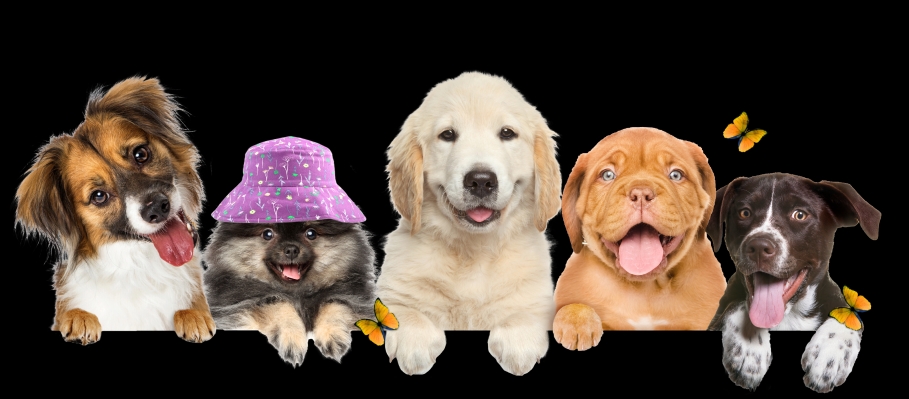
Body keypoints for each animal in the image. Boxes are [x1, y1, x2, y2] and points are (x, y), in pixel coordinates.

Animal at [14, 76, 215, 346]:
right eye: (99, 196)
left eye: (140, 154)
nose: (156, 208)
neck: (140, 269)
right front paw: (80, 319)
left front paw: (193, 315)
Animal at [202, 220, 376, 368]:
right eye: (268, 234)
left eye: (311, 233)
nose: (291, 249)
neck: (296, 292)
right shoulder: (239, 301)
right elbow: (278, 304)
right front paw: (292, 339)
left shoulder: (351, 295)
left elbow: (335, 304)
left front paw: (333, 335)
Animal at [374, 71, 560, 376]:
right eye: (447, 135)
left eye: (507, 133)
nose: (481, 181)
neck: (474, 251)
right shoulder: (393, 289)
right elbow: (405, 310)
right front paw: (415, 339)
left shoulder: (537, 293)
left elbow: (525, 310)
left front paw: (518, 340)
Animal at [552, 128, 724, 350]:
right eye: (607, 175)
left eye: (676, 174)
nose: (641, 193)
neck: (646, 289)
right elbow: (571, 306)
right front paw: (576, 320)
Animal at [704, 173, 876, 392]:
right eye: (744, 213)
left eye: (799, 215)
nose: (759, 247)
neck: (789, 316)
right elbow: (738, 305)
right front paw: (749, 348)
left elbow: (848, 316)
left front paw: (829, 354)